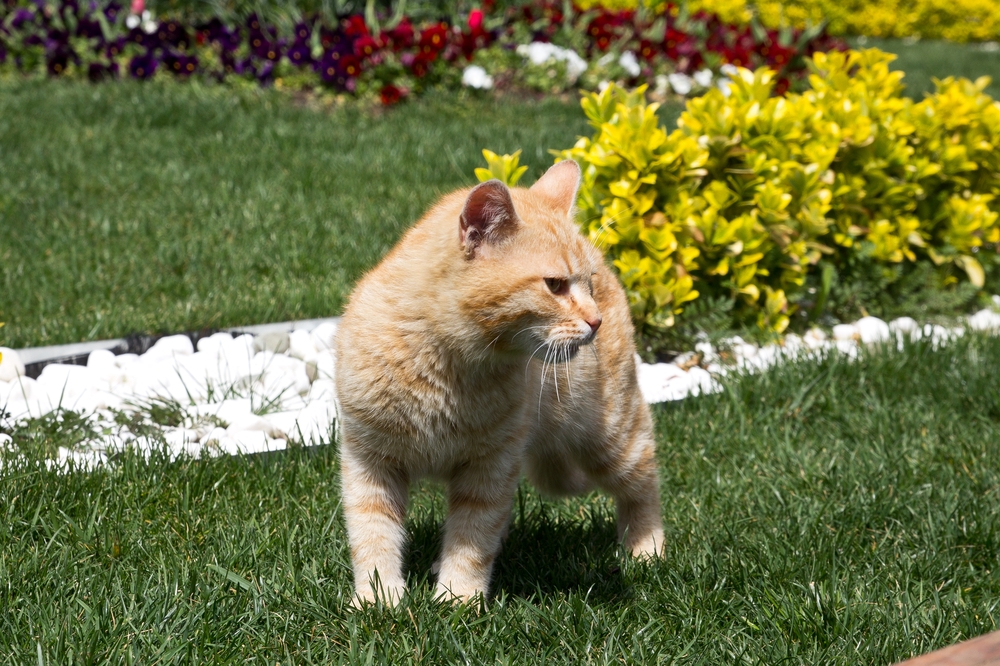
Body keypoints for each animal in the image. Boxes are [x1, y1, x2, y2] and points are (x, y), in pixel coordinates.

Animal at [336, 160, 664, 600]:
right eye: (555, 285)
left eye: (589, 284)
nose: (596, 321)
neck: (444, 364)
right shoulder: (368, 462)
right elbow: (372, 534)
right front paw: (378, 598)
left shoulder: (490, 467)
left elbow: (472, 538)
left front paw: (456, 597)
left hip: (611, 437)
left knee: (643, 482)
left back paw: (648, 550)